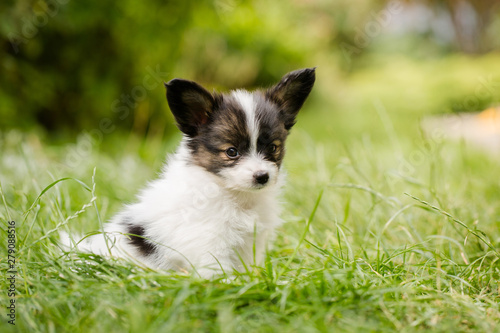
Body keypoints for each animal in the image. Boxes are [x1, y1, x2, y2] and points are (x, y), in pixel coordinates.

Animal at [61, 66, 312, 276]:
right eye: (232, 152)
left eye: (273, 148)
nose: (262, 177)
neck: (234, 195)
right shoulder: (209, 242)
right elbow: (218, 272)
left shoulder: (250, 243)